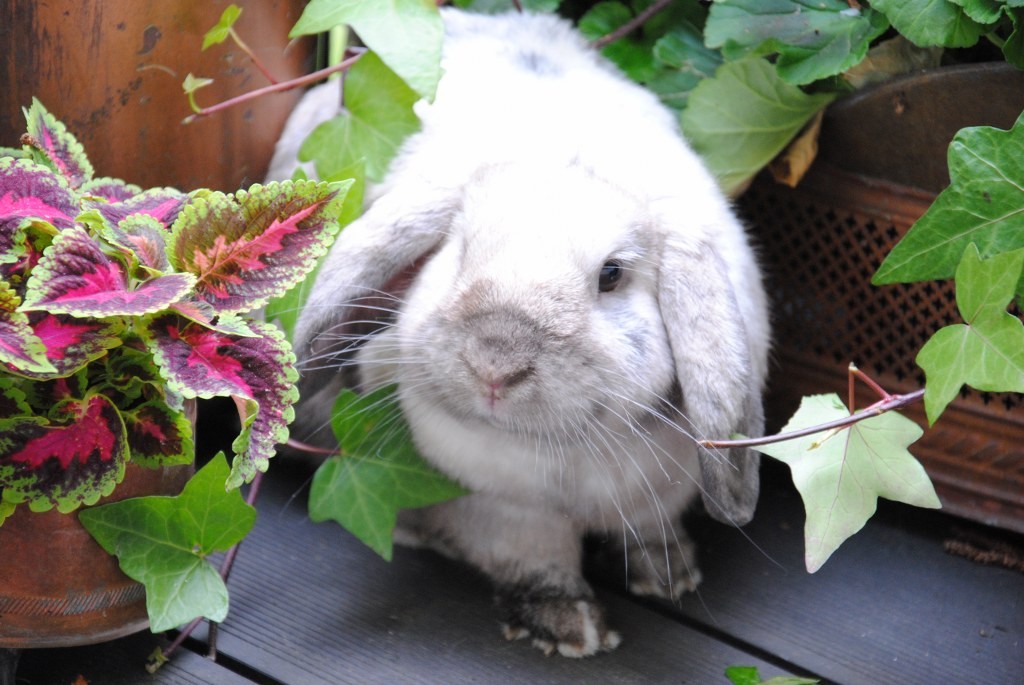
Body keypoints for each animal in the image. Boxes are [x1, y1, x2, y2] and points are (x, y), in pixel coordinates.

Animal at [272, 6, 770, 655]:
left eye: (612, 275)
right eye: (457, 252)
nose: (495, 363)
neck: (561, 455)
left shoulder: (658, 493)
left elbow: (648, 527)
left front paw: (670, 573)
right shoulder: (496, 508)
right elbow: (533, 557)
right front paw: (568, 628)